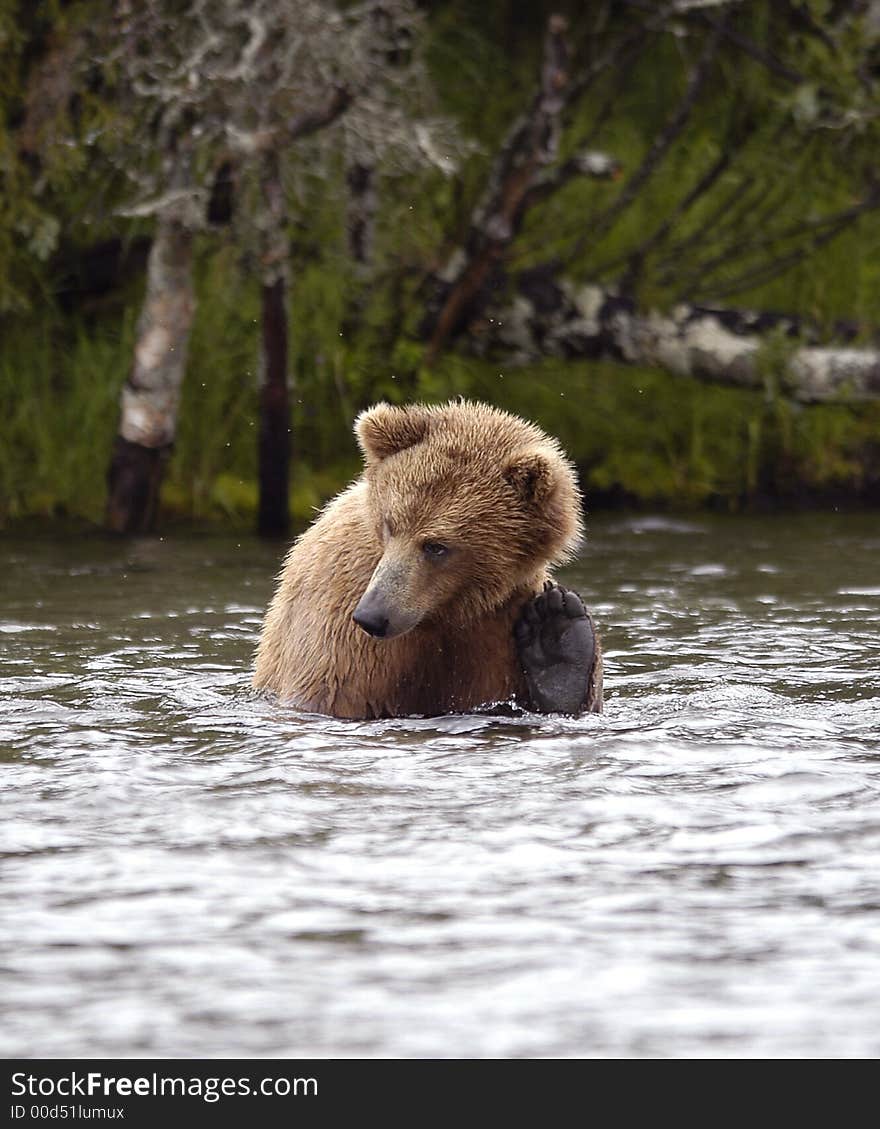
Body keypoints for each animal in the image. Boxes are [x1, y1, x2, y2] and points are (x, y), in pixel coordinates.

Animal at [250, 399, 600, 713]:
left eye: (436, 546)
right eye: (389, 524)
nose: (372, 616)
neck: (443, 610)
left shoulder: (498, 620)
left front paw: (556, 643)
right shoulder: (343, 613)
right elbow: (333, 690)